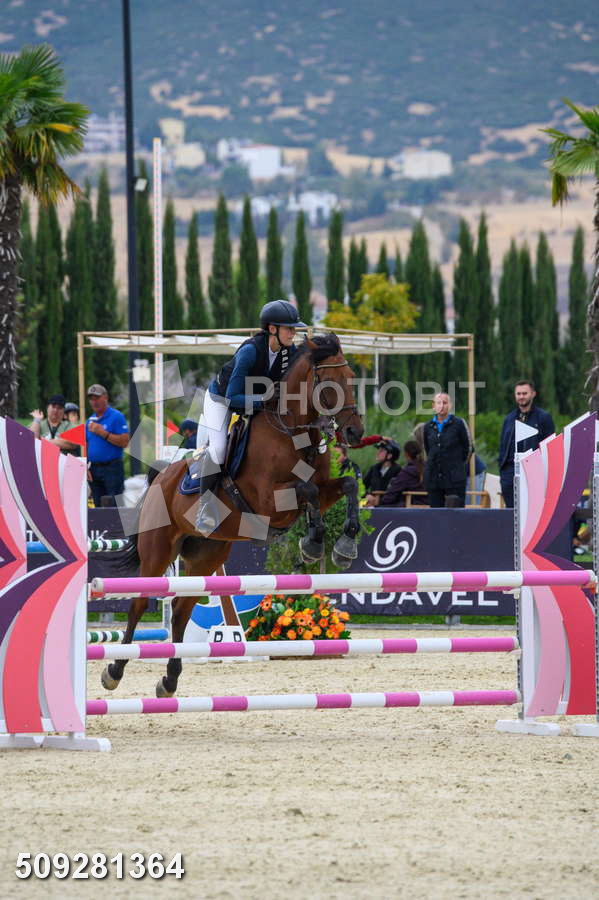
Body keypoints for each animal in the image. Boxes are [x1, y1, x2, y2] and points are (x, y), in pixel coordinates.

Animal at [101, 333, 364, 697]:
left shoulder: (323, 490)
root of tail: (160, 477)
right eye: (329, 382)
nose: (355, 433)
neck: (292, 431)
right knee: (139, 604)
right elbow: (307, 490)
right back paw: (114, 670)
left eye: (351, 378)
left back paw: (169, 680)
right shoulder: (267, 500)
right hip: (157, 552)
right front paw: (313, 543)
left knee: (181, 612)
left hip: (206, 555)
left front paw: (342, 547)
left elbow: (346, 486)